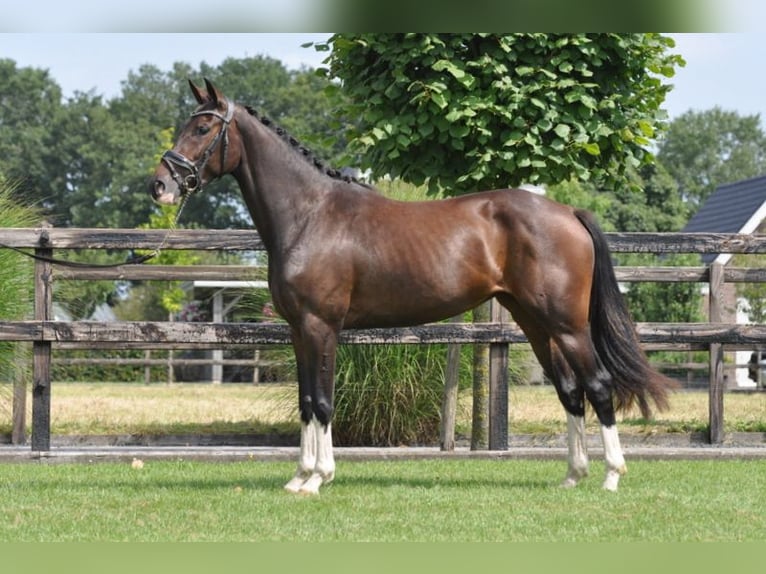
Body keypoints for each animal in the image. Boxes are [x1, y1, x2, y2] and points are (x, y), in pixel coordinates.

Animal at [147, 80, 676, 496]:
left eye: (202, 129)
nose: (160, 186)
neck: (310, 214)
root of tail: (568, 212)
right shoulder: (298, 331)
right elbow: (306, 402)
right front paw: (299, 477)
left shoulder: (321, 327)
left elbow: (323, 401)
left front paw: (318, 478)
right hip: (534, 322)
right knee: (569, 391)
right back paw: (572, 476)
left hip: (567, 325)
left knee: (598, 386)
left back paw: (610, 476)